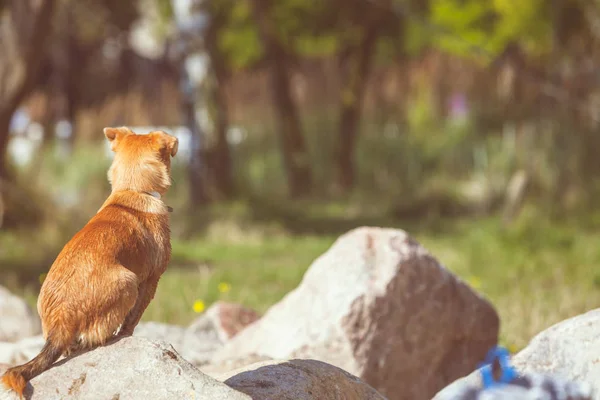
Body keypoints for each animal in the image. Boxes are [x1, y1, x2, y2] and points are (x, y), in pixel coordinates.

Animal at [1, 126, 178, 398]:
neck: (131, 189)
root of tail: (62, 319)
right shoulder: (150, 281)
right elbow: (133, 317)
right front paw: (127, 333)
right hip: (128, 282)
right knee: (101, 335)